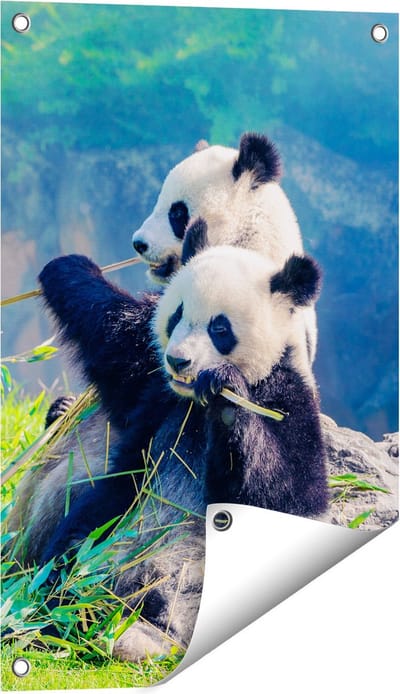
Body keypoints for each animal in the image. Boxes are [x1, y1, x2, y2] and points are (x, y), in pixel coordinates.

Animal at [29, 220, 327, 662]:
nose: (178, 360)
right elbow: (118, 340)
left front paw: (226, 394)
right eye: (177, 315)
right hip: (104, 535)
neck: (194, 406)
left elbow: (287, 494)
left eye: (220, 328)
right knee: (71, 553)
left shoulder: (288, 399)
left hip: (188, 581)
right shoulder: (156, 395)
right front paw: (69, 267)